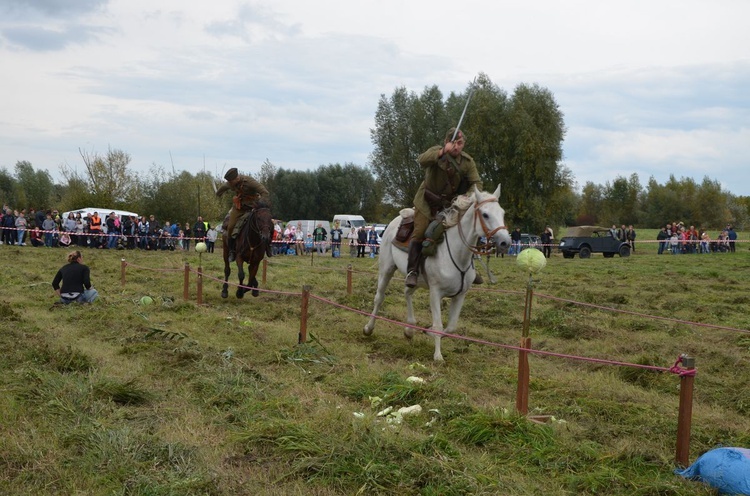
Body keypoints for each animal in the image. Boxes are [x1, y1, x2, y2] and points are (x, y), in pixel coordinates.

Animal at [362, 185, 516, 360]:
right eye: (485, 214)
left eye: (502, 213)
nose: (505, 242)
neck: (457, 254)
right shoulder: (435, 293)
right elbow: (438, 325)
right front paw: (438, 356)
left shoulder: (460, 295)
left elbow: (450, 328)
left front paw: (427, 332)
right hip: (386, 269)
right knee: (379, 298)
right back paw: (368, 328)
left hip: (416, 279)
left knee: (407, 292)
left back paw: (409, 329)